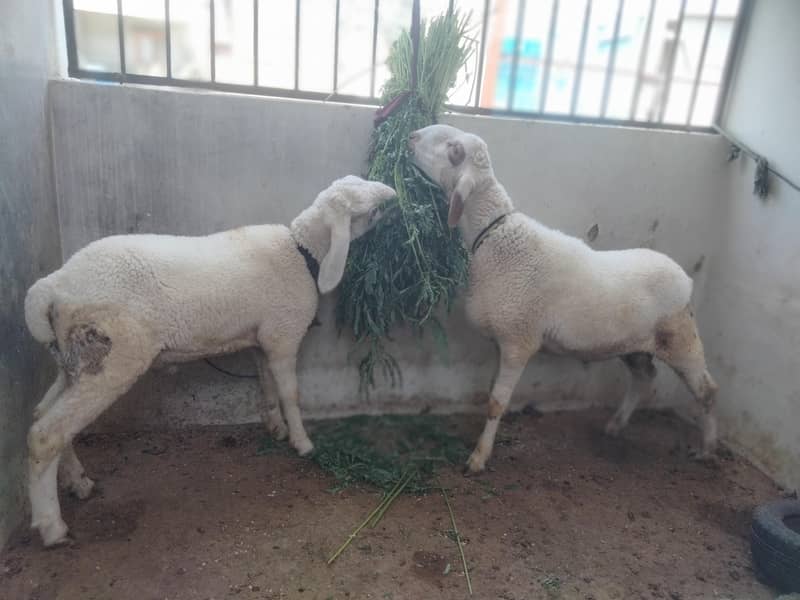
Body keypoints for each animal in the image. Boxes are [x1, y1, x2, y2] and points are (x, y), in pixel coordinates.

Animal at [23, 175, 396, 546]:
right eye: (359, 198)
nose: (391, 193)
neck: (302, 251)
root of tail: (50, 287)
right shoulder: (283, 336)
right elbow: (291, 394)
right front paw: (302, 442)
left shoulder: (262, 340)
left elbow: (267, 386)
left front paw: (275, 427)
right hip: (111, 356)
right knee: (47, 433)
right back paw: (52, 525)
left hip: (74, 361)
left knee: (44, 415)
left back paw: (78, 482)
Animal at [409, 124, 718, 473]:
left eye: (454, 150)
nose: (411, 137)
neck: (495, 236)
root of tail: (686, 279)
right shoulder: (501, 340)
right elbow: (490, 392)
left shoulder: (519, 340)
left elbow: (496, 402)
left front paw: (479, 457)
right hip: (635, 346)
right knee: (643, 377)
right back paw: (615, 425)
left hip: (682, 340)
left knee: (707, 392)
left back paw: (707, 449)